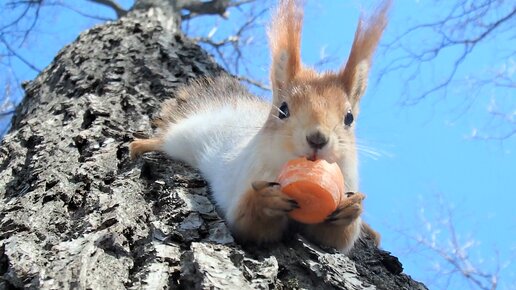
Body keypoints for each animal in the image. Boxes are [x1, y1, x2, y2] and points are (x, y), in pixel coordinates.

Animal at [130, 0, 392, 253]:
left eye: (349, 117)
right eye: (283, 109)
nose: (317, 138)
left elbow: (337, 240)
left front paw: (351, 208)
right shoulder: (247, 175)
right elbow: (245, 222)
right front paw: (266, 199)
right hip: (183, 136)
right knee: (166, 139)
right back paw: (141, 145)